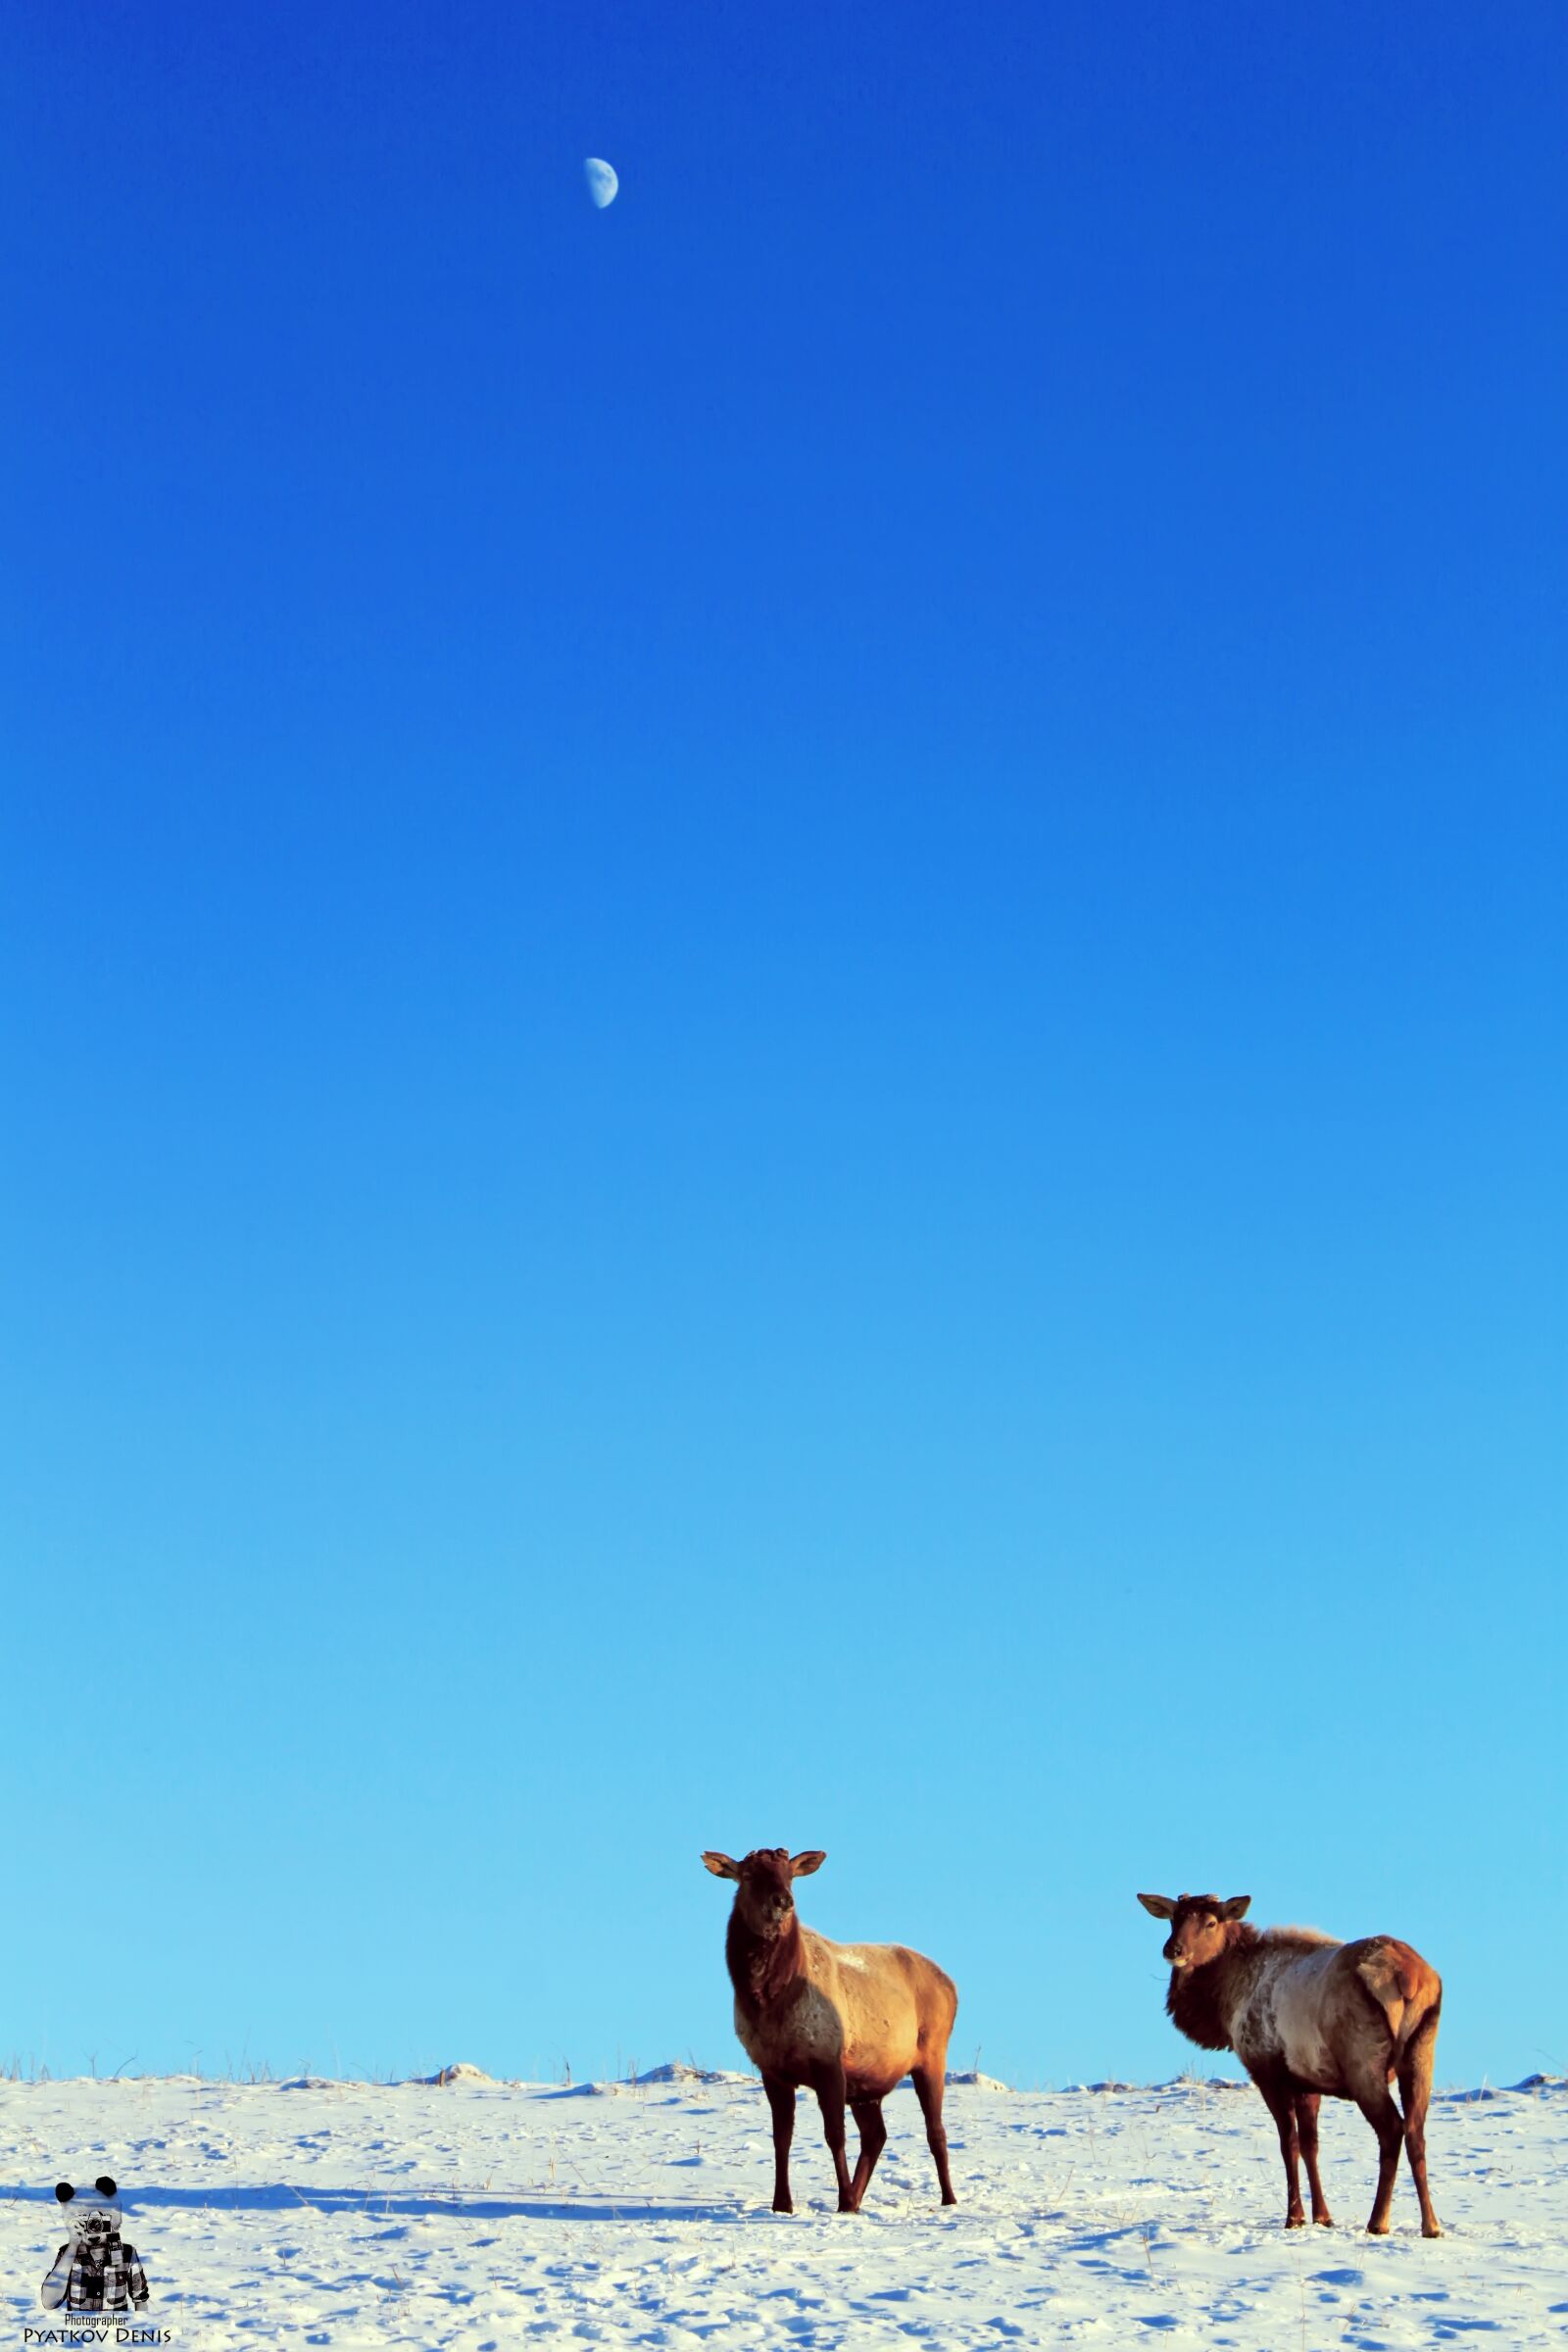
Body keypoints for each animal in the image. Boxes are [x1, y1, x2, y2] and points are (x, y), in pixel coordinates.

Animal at [701, 1847, 960, 2214]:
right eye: (748, 1875)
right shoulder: (772, 2069)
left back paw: (947, 2199)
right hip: (867, 2083)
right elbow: (781, 2137)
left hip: (932, 2055)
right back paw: (860, 2196)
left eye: (790, 1874)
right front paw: (782, 2204)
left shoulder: (829, 2061)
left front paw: (844, 2200)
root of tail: (951, 1986)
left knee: (935, 2131)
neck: (768, 2002)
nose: (783, 1900)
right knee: (876, 2135)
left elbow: (834, 2134)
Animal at [1137, 1892, 1443, 2237]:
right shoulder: (1308, 2080)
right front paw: (1323, 2216)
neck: (1225, 2003)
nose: (1173, 1950)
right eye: (1174, 1918)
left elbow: (1289, 2144)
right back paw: (1431, 2225)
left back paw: (1378, 2221)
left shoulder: (1267, 2070)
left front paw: (1294, 2217)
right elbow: (1312, 2145)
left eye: (1211, 1922)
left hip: (1362, 2060)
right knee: (1416, 2131)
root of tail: (1409, 1977)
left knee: (1392, 2129)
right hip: (1422, 2052)